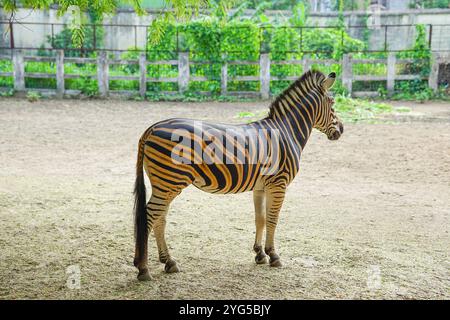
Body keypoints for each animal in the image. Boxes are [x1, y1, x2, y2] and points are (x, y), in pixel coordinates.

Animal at [132, 69, 342, 280]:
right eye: (332, 103)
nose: (341, 130)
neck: (286, 132)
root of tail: (151, 128)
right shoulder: (278, 183)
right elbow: (272, 219)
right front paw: (273, 255)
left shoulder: (260, 187)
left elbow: (260, 219)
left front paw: (260, 254)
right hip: (170, 180)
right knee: (148, 217)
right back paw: (143, 268)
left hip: (165, 183)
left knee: (160, 218)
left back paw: (168, 262)